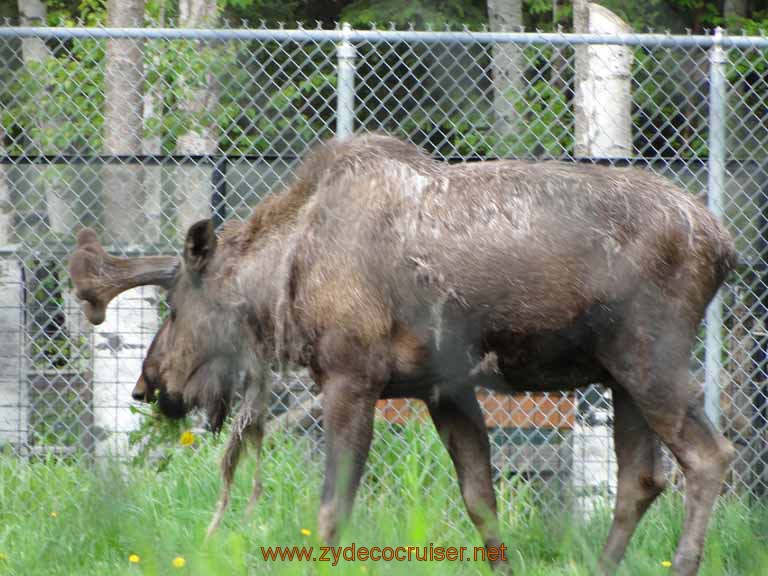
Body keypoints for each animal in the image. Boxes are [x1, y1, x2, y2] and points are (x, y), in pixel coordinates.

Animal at [70, 133, 736, 572]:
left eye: (175, 308)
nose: (146, 384)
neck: (283, 279)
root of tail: (725, 246)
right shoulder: (445, 389)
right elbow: (482, 503)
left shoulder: (350, 377)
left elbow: (332, 508)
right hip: (621, 377)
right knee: (640, 478)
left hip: (651, 356)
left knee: (709, 456)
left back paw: (684, 562)